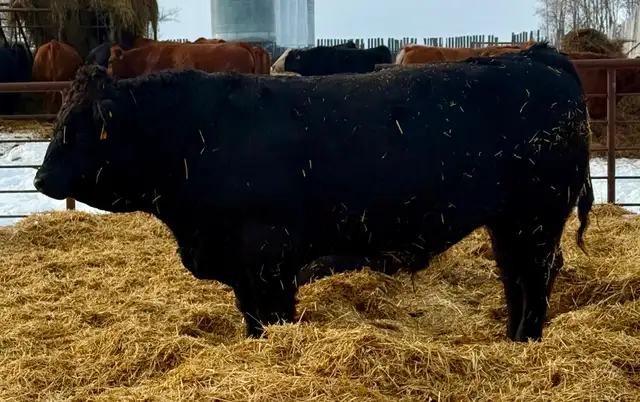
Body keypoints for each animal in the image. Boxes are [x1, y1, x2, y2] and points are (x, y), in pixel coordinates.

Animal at [34, 41, 594, 343]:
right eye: (58, 118)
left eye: (76, 127)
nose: (40, 180)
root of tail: (537, 57)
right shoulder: (243, 266)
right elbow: (252, 321)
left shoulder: (268, 258)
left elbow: (273, 317)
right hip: (510, 223)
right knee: (516, 280)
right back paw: (514, 340)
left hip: (537, 218)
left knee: (534, 279)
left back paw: (526, 340)